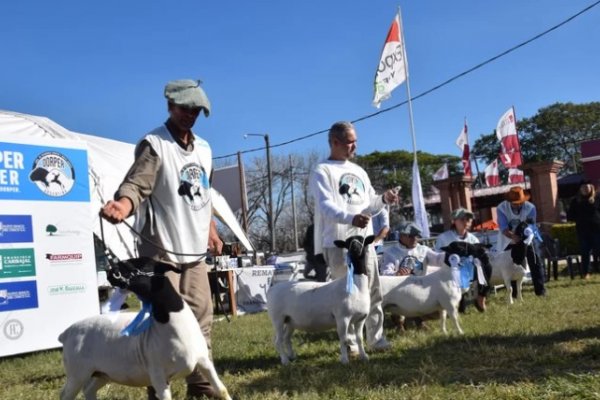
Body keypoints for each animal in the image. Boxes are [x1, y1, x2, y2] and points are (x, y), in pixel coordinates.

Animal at [59, 258, 232, 400]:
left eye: (137, 263)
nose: (109, 271)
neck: (172, 325)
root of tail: (68, 332)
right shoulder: (158, 376)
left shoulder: (204, 362)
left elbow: (221, 389)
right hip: (77, 373)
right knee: (66, 394)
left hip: (102, 373)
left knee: (88, 390)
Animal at [266, 236, 372, 364]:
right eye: (347, 242)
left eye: (362, 240)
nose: (356, 247)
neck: (357, 285)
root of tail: (271, 290)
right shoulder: (342, 317)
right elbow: (344, 340)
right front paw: (345, 360)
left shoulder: (360, 319)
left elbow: (360, 339)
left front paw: (364, 357)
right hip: (277, 318)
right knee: (278, 341)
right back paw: (285, 360)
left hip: (290, 320)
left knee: (286, 338)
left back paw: (292, 356)